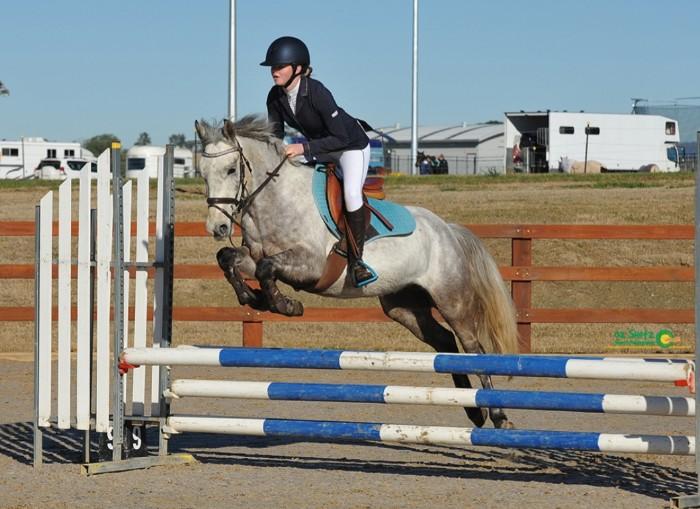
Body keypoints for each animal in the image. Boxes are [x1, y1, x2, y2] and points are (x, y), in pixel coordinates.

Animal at [194, 115, 519, 429]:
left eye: (231, 169)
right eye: (203, 172)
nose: (217, 227)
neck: (276, 202)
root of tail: (448, 230)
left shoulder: (311, 264)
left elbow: (266, 269)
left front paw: (285, 304)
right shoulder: (255, 256)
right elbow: (228, 259)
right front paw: (252, 298)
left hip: (452, 301)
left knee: (474, 349)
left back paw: (497, 414)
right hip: (404, 307)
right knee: (445, 342)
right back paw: (473, 411)